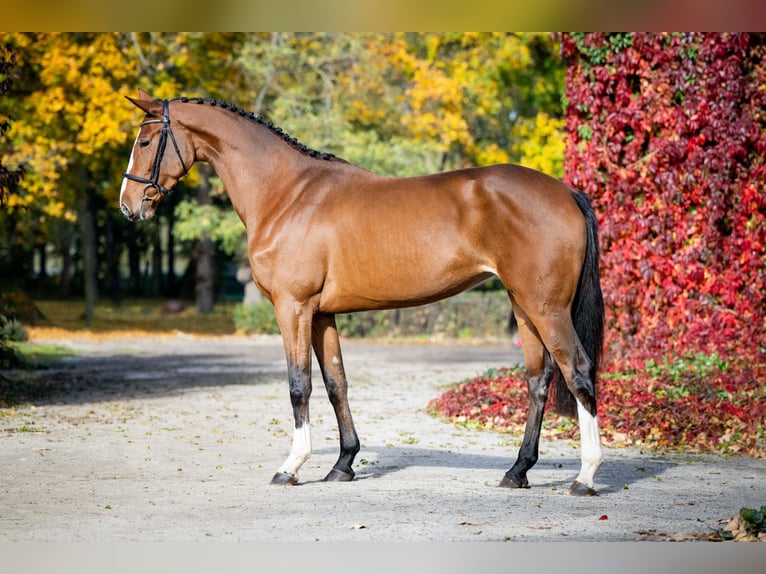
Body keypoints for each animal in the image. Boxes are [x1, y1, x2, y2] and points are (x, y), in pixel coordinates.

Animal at [121, 90, 608, 496]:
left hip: (547, 309)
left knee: (578, 371)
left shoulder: (292, 307)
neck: (286, 193)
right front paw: (343, 464)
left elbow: (299, 384)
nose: (129, 206)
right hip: (524, 307)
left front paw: (291, 466)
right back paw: (517, 471)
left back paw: (585, 477)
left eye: (145, 141)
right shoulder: (321, 314)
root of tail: (566, 192)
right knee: (539, 380)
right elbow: (337, 384)